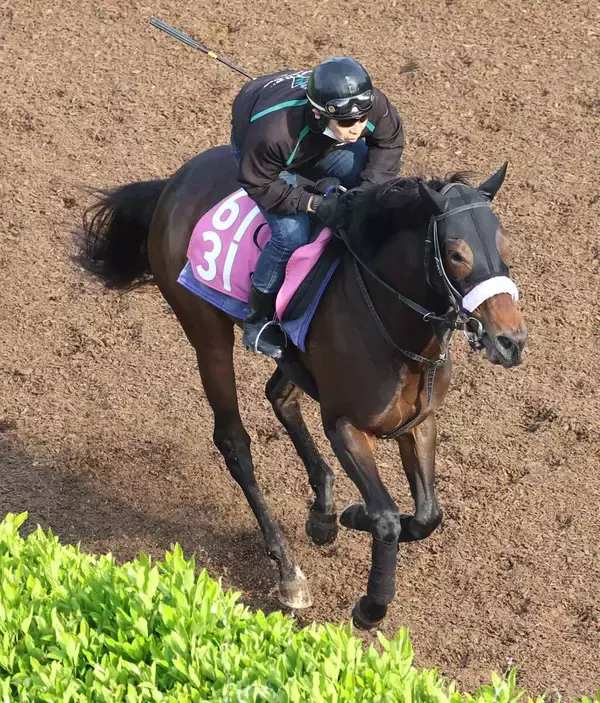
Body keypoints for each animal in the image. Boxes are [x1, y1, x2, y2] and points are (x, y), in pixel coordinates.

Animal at [79, 145, 527, 629]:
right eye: (456, 254)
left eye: (505, 246)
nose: (511, 341)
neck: (396, 333)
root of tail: (176, 181)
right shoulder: (344, 425)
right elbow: (387, 517)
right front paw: (371, 601)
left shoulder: (419, 422)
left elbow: (428, 516)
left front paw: (344, 515)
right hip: (206, 334)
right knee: (234, 441)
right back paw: (289, 570)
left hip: (293, 359)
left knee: (280, 395)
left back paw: (323, 511)